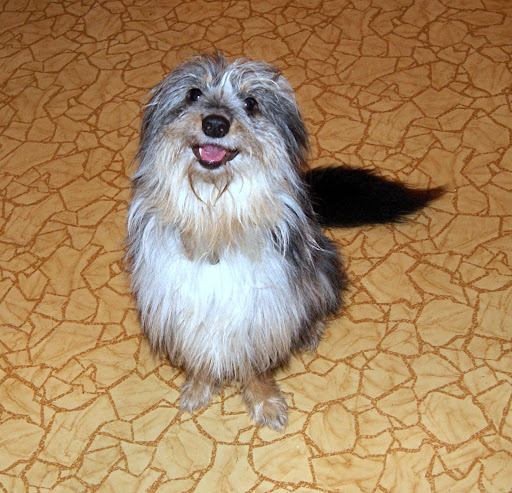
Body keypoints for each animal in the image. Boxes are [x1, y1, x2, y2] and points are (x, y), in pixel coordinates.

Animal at [126, 53, 442, 430]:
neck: (216, 221)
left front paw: (265, 403)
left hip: (321, 267)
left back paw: (310, 329)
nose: (215, 124)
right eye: (193, 94)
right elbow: (200, 355)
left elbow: (256, 369)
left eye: (251, 103)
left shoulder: (263, 313)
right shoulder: (181, 308)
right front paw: (199, 387)